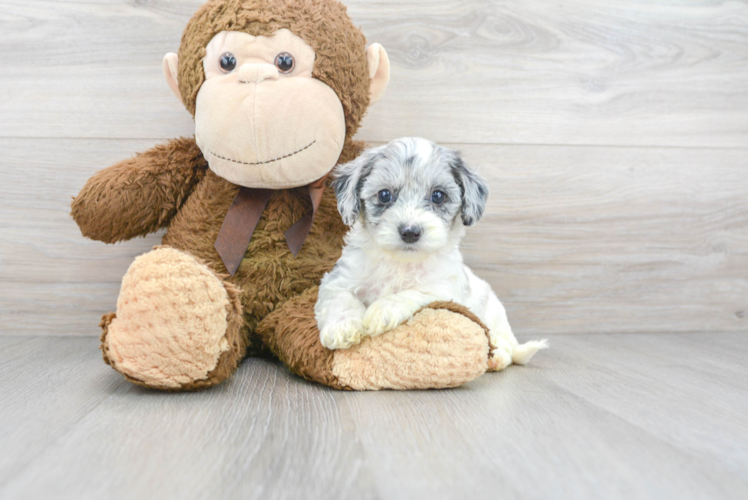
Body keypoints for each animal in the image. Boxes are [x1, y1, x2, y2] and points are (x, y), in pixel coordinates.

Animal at [312, 137, 548, 372]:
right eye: (384, 195)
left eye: (438, 196)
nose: (410, 232)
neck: (401, 263)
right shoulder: (339, 279)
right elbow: (341, 299)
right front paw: (341, 328)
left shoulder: (443, 288)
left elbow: (414, 292)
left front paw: (383, 309)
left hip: (494, 314)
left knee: (505, 346)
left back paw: (496, 357)